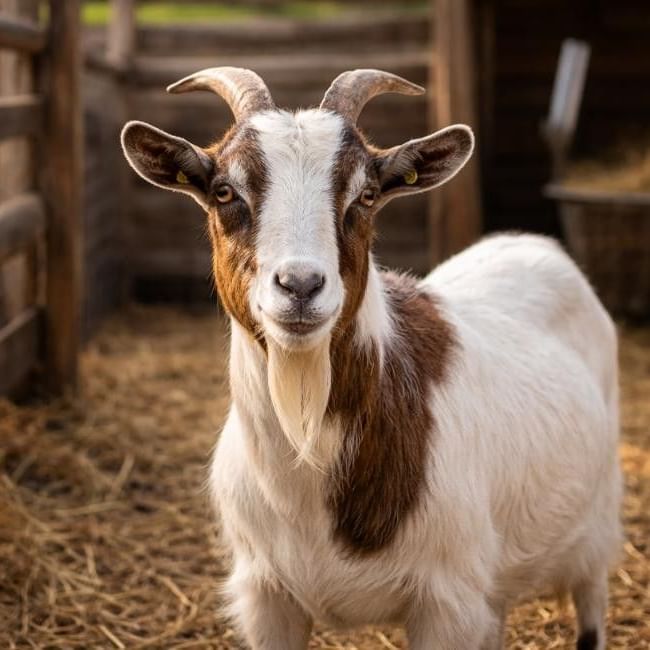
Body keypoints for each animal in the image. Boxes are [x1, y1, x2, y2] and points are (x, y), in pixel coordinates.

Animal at [121, 68, 622, 650]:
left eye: (365, 195)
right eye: (225, 191)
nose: (300, 285)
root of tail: (534, 244)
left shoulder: (445, 604)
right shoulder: (267, 597)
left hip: (597, 527)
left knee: (592, 600)